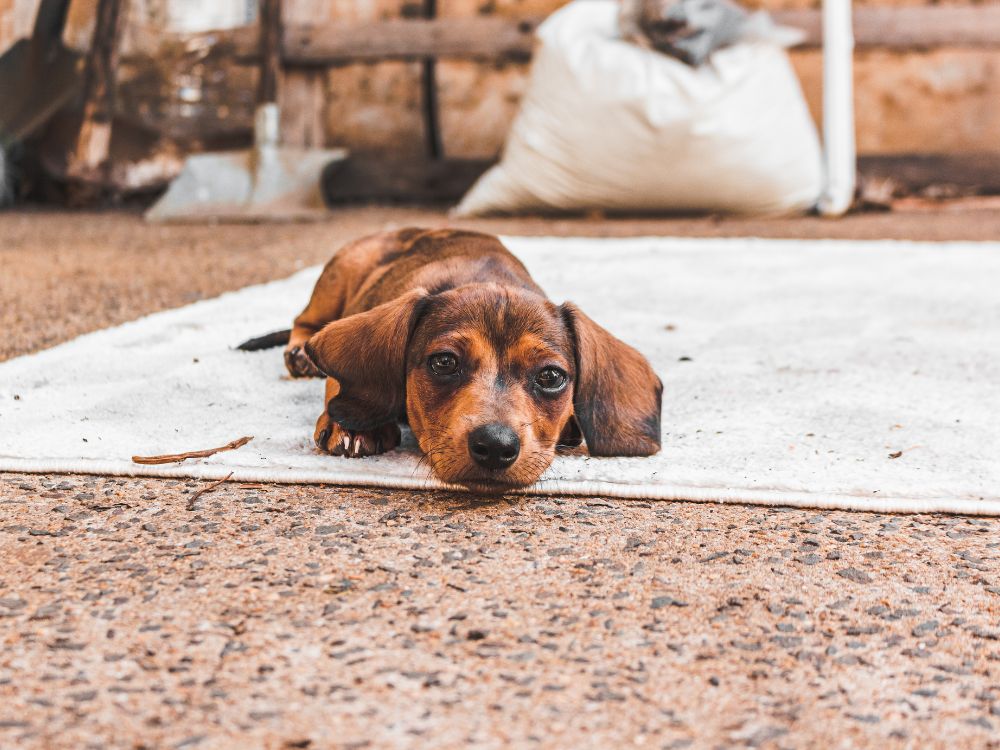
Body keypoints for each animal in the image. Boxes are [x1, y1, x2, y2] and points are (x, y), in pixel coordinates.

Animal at [246, 229, 660, 496]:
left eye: (551, 376)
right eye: (444, 362)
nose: (495, 446)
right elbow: (340, 380)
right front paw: (351, 425)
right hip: (341, 273)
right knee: (304, 321)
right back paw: (301, 353)